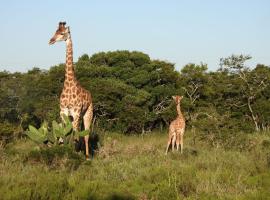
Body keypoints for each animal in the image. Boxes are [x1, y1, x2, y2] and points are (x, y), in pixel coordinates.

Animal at [49, 21, 93, 159]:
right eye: (55, 31)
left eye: (63, 33)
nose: (51, 41)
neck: (69, 84)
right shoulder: (63, 112)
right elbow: (64, 135)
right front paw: (65, 152)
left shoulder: (76, 112)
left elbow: (75, 136)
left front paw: (74, 154)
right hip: (76, 116)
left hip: (87, 113)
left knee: (85, 135)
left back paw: (87, 156)